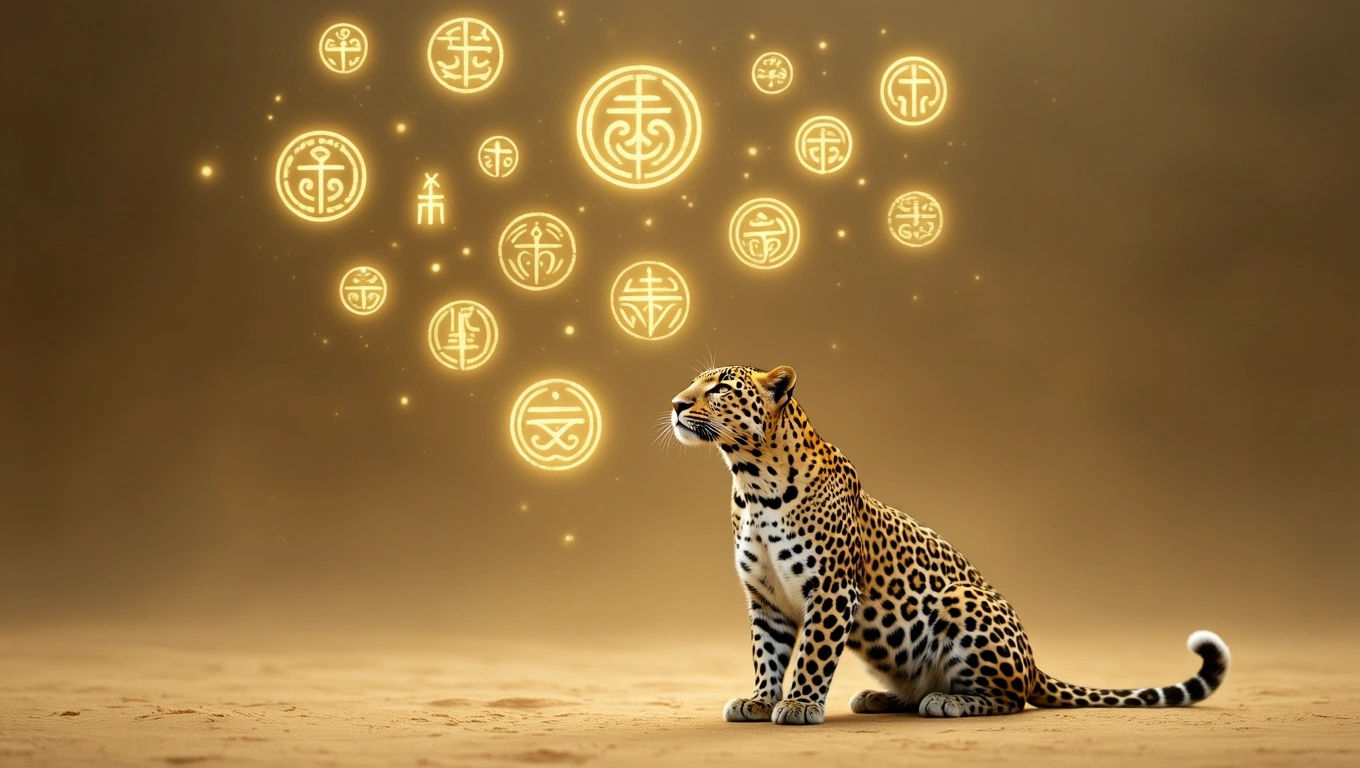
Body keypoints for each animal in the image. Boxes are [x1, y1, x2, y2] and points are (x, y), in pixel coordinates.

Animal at [669, 364, 1230, 725]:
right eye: (693, 383)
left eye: (719, 388)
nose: (676, 404)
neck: (751, 484)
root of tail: (1034, 663)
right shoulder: (765, 597)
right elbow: (768, 653)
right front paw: (760, 701)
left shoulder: (831, 590)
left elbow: (812, 651)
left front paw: (801, 705)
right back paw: (880, 698)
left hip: (960, 599)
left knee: (1013, 698)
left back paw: (949, 702)